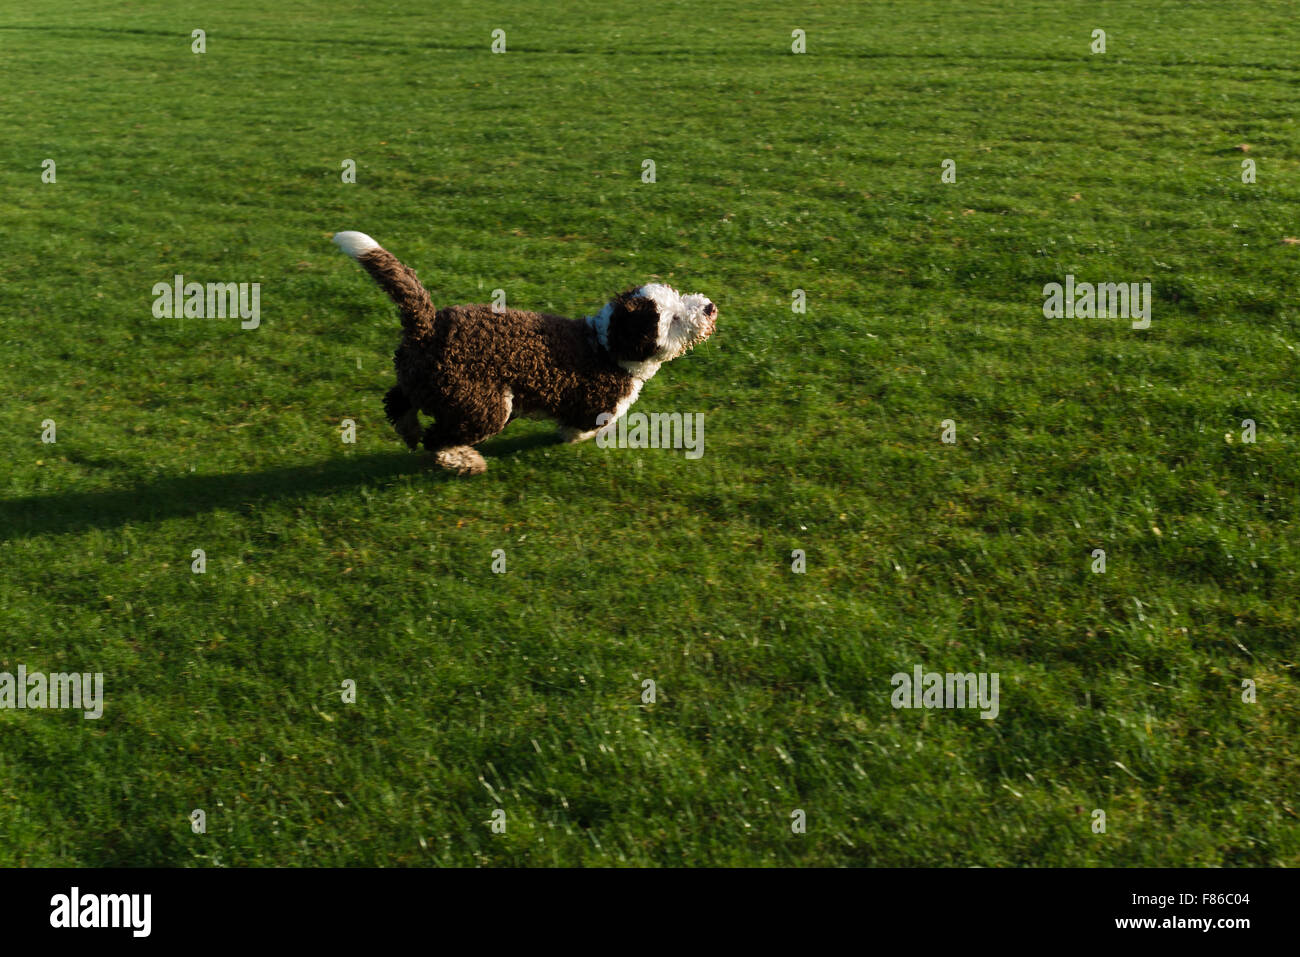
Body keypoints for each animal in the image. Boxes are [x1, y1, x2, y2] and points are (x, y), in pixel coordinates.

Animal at [335, 232, 717, 478]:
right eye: (673, 319)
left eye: (678, 296)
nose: (709, 307)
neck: (606, 345)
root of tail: (428, 324)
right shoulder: (596, 407)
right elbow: (584, 428)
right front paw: (577, 436)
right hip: (482, 403)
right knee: (438, 440)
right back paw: (467, 461)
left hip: (421, 380)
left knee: (396, 402)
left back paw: (411, 431)